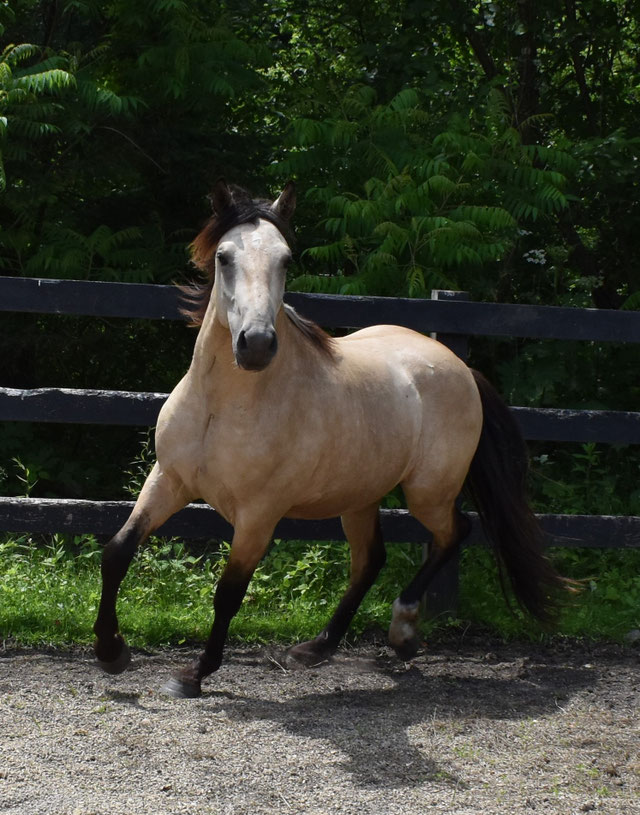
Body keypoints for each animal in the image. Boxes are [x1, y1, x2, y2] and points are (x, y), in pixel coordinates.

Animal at [93, 180, 567, 698]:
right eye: (223, 256)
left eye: (285, 259)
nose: (256, 344)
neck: (221, 408)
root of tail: (460, 366)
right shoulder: (168, 481)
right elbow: (117, 551)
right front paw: (111, 652)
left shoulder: (259, 515)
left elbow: (229, 592)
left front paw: (194, 674)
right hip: (359, 497)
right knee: (371, 560)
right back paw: (318, 647)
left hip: (428, 492)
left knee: (452, 534)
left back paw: (402, 632)